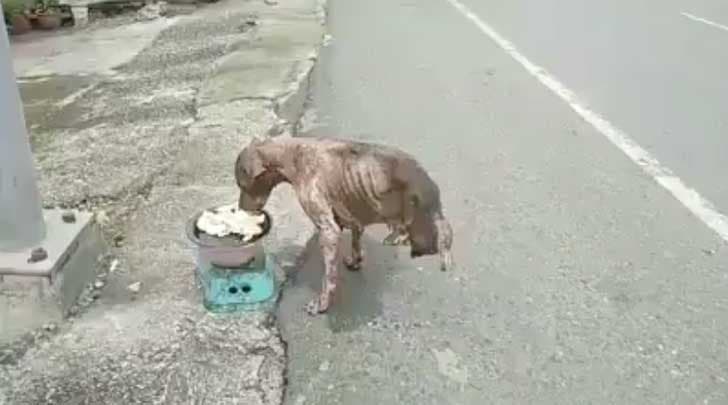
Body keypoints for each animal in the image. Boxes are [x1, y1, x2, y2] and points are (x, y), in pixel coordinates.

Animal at [236, 136, 452, 312]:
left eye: (242, 185)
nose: (240, 209)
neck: (292, 154)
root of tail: (427, 182)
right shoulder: (350, 215)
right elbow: (356, 242)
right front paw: (355, 261)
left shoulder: (328, 230)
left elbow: (329, 278)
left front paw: (322, 304)